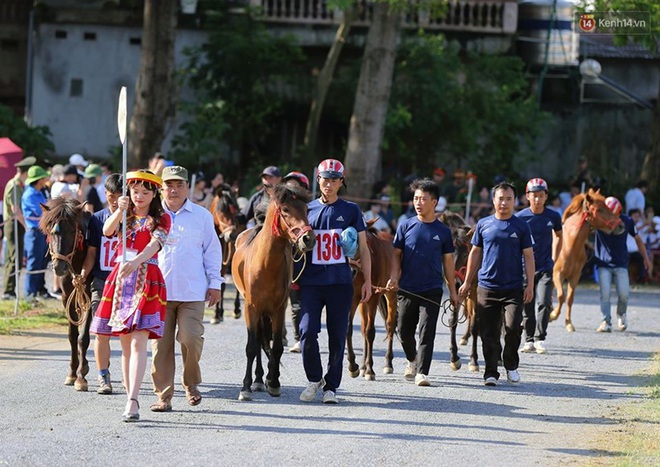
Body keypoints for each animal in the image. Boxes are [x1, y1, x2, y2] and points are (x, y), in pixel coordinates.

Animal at [39, 197, 92, 392]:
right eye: (50, 230)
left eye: (72, 230)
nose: (59, 267)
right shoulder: (67, 296)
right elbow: (72, 335)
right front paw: (72, 373)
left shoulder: (89, 295)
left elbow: (83, 337)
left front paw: (81, 376)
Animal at [209, 185, 245, 324]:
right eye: (222, 211)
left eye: (236, 211)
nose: (232, 235)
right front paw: (216, 315)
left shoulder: (224, 264)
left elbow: (222, 286)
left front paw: (218, 313)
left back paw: (236, 310)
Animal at [231, 185, 316, 400]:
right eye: (285, 209)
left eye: (306, 209)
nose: (308, 239)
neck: (265, 265)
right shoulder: (251, 308)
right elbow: (252, 347)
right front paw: (245, 388)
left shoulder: (278, 310)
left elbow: (276, 347)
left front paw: (274, 382)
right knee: (258, 342)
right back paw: (258, 380)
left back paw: (264, 379)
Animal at [346, 219, 398, 380]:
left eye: (361, 241)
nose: (351, 271)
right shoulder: (352, 298)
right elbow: (349, 329)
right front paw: (354, 366)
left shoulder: (374, 297)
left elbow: (370, 332)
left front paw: (370, 370)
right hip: (363, 302)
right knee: (363, 328)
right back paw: (363, 366)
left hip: (391, 292)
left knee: (390, 325)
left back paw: (388, 363)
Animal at [552, 189, 624, 332]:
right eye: (600, 209)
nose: (620, 225)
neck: (569, 245)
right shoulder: (557, 274)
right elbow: (561, 296)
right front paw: (553, 315)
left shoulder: (575, 277)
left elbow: (569, 299)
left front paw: (568, 323)